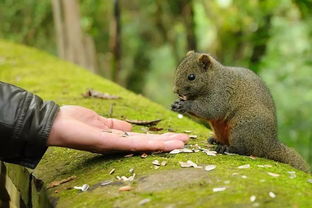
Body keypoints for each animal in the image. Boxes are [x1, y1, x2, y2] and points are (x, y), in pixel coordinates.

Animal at [171, 50, 310, 172]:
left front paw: (185, 105)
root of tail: (269, 144)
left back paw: (226, 148)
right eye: (177, 69)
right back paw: (216, 140)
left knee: (244, 150)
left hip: (242, 128)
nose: (175, 90)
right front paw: (176, 104)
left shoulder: (221, 94)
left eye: (191, 77)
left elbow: (210, 110)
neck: (214, 79)